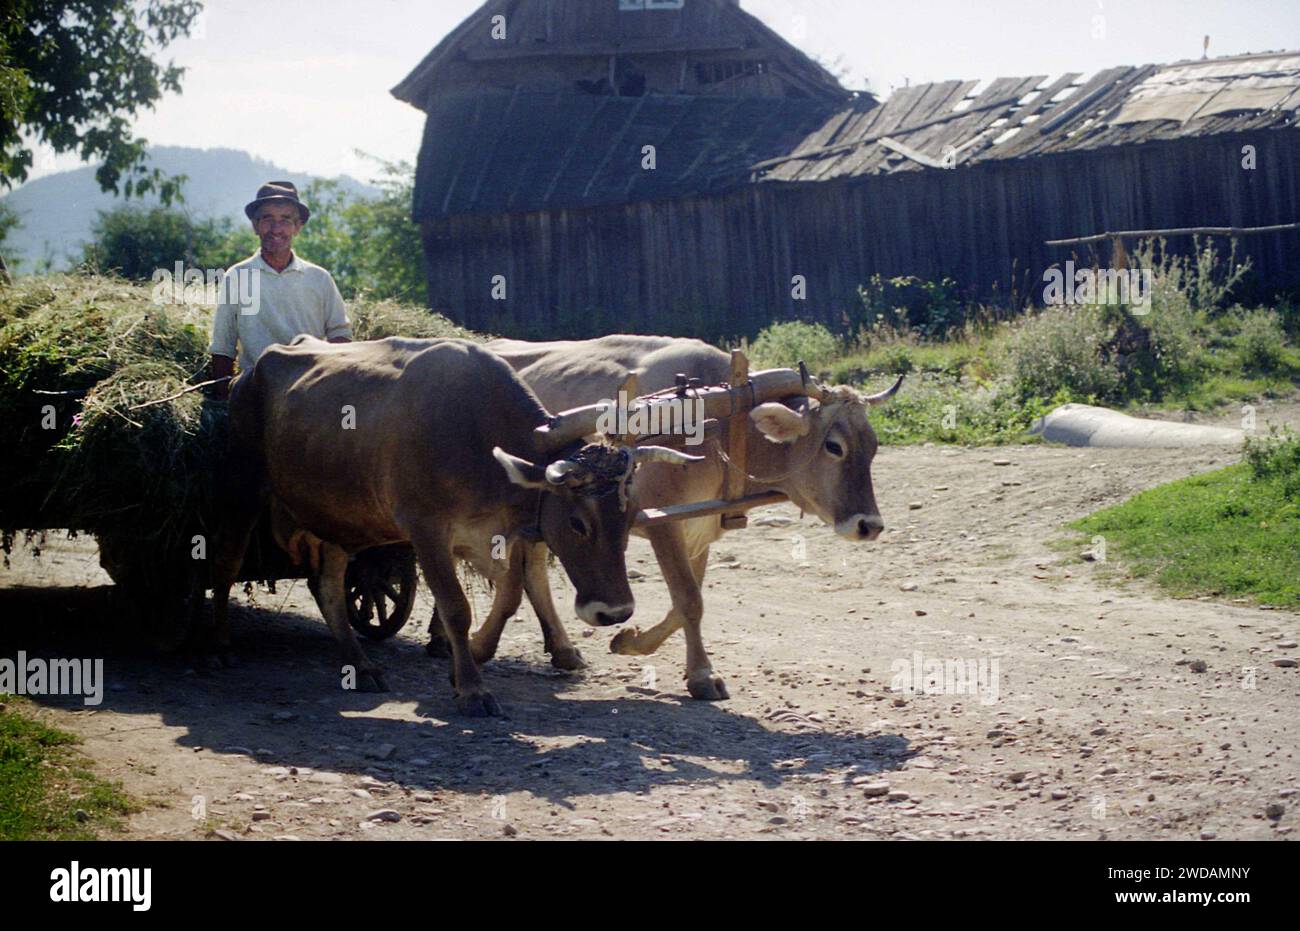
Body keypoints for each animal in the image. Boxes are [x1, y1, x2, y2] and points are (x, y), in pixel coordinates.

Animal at [208, 338, 696, 717]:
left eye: (629, 518)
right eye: (578, 523)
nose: (615, 613)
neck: (478, 432)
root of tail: (250, 368)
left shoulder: (496, 532)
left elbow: (512, 593)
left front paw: (471, 661)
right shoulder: (425, 529)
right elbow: (456, 608)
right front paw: (472, 689)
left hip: (338, 514)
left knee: (327, 585)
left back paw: (361, 667)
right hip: (242, 487)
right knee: (227, 564)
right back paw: (220, 646)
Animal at [431, 335, 899, 696]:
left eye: (874, 446)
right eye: (834, 446)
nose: (869, 525)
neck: (720, 421)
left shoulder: (701, 526)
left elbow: (685, 601)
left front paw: (631, 641)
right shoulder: (665, 523)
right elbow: (690, 600)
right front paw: (703, 675)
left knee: (530, 573)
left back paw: (555, 649)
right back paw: (471, 645)